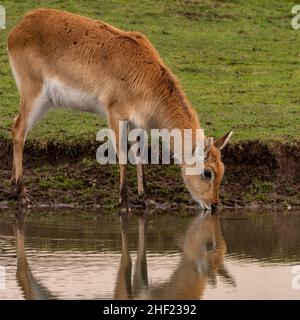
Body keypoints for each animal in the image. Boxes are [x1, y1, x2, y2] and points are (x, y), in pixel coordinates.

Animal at [6, 8, 232, 210]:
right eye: (207, 172)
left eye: (223, 169)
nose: (213, 205)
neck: (145, 76)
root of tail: (19, 26)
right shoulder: (115, 114)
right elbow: (123, 155)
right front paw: (124, 202)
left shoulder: (136, 122)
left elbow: (140, 154)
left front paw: (146, 199)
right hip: (33, 94)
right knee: (18, 130)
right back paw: (22, 196)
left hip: (45, 102)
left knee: (15, 127)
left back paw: (12, 186)